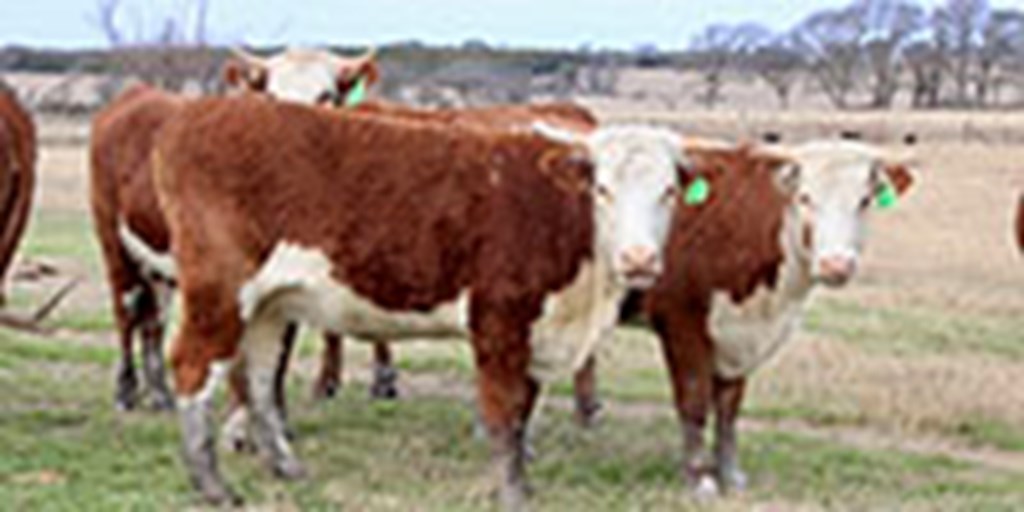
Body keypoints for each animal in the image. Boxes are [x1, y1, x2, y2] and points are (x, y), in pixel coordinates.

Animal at [88, 46, 376, 409]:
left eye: (326, 96)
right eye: (271, 96)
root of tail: (135, 95)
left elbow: (281, 345)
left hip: (157, 256)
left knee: (154, 318)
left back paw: (160, 391)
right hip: (112, 240)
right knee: (125, 310)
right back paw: (126, 390)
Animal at [151, 96, 692, 507]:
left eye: (669, 191)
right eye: (602, 190)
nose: (639, 258)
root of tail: (197, 115)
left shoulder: (537, 330)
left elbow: (524, 413)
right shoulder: (498, 319)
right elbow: (503, 413)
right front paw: (512, 492)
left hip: (269, 305)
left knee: (260, 378)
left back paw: (286, 467)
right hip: (220, 291)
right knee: (194, 366)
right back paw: (213, 486)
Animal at [643, 139, 917, 495]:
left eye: (864, 200)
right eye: (805, 197)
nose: (836, 265)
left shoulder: (739, 335)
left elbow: (729, 407)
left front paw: (730, 474)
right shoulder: (682, 323)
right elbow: (694, 400)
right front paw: (700, 477)